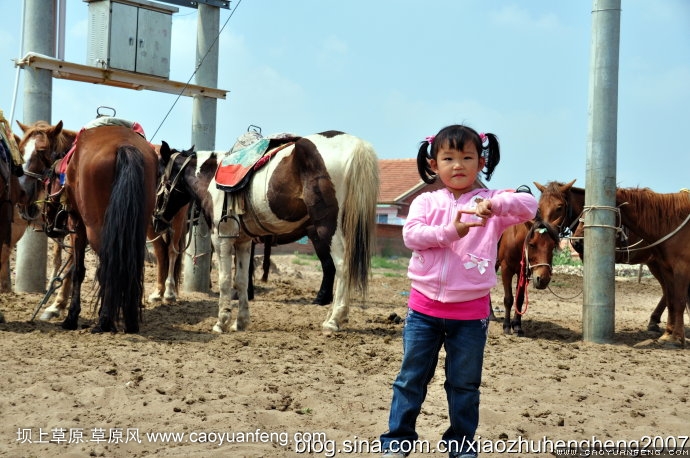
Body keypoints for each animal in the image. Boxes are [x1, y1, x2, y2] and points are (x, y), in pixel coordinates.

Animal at [24, 124, 158, 332]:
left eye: (47, 182)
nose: (47, 225)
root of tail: (125, 146)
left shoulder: (77, 227)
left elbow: (78, 270)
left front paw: (71, 317)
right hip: (136, 229)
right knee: (130, 266)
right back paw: (130, 321)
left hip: (95, 231)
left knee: (108, 268)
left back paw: (105, 320)